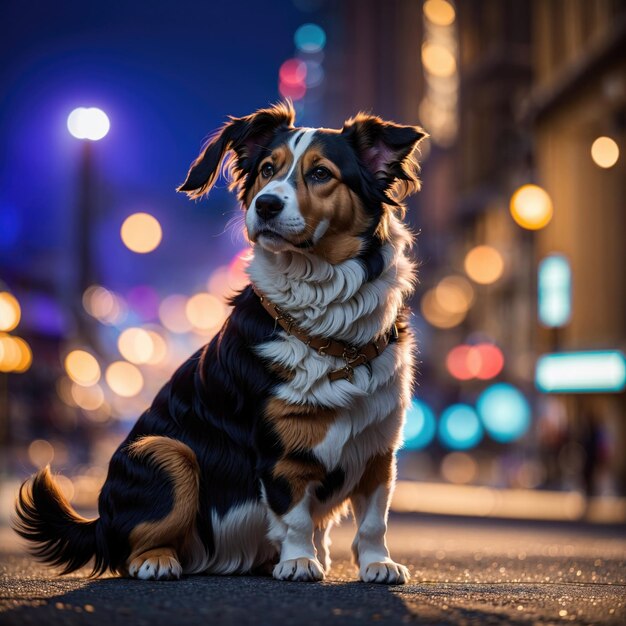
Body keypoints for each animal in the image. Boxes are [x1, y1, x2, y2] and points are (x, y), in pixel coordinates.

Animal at [14, 100, 424, 584]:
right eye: (267, 170)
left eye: (321, 173)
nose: (266, 205)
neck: (329, 326)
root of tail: (99, 524)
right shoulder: (280, 450)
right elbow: (296, 515)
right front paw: (299, 561)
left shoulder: (380, 446)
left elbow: (375, 518)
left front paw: (378, 563)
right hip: (164, 451)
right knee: (129, 547)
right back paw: (158, 561)